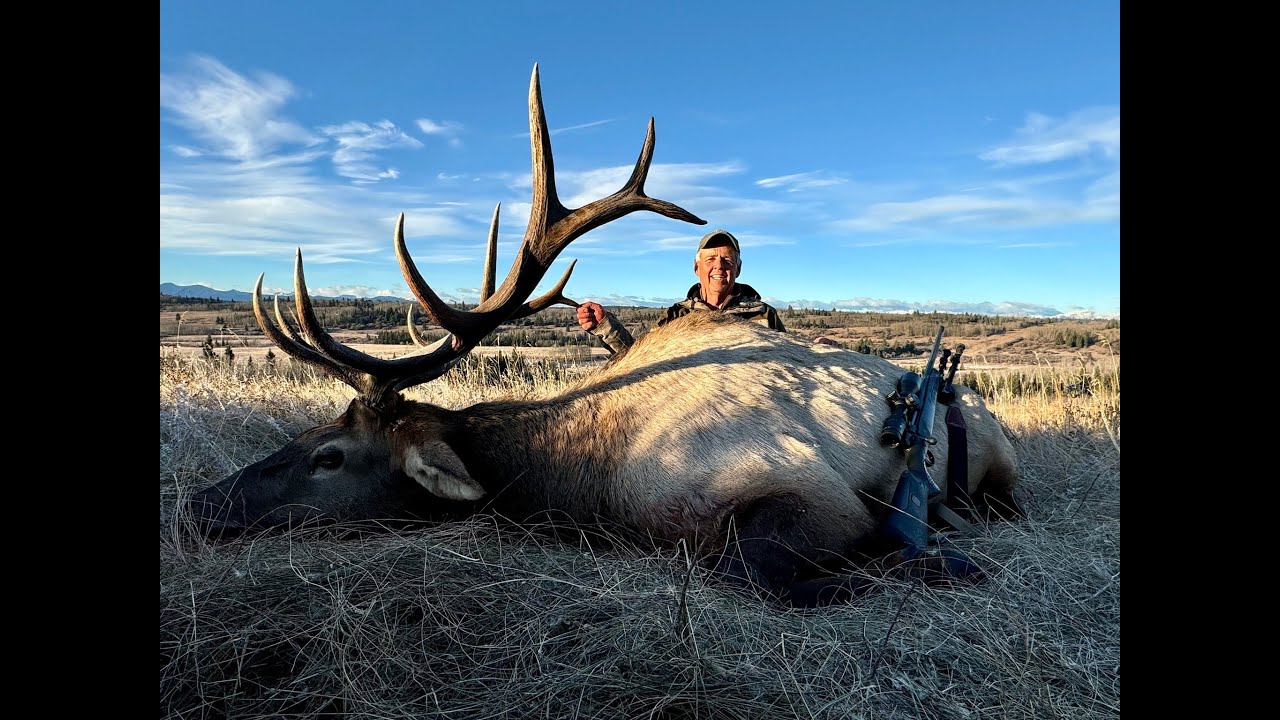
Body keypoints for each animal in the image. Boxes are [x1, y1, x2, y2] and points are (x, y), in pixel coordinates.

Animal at [189, 65, 1021, 607]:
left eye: (329, 456)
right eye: (302, 434)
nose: (197, 505)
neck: (583, 479)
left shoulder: (815, 495)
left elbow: (757, 573)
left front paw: (935, 565)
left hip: (1002, 467)